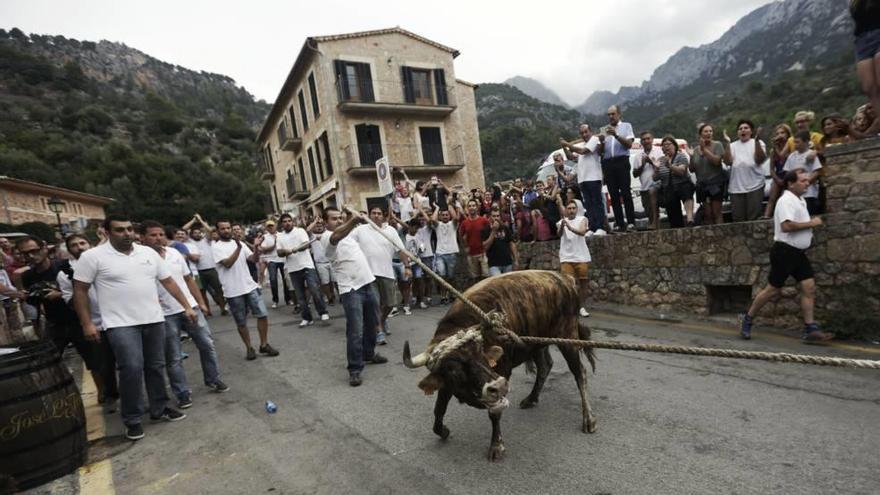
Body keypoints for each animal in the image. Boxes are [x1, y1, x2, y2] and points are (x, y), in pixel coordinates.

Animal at [404, 272, 600, 462]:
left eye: (481, 353)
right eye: (453, 369)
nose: (498, 386)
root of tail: (565, 279)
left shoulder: (503, 372)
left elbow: (495, 413)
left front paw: (496, 446)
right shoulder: (446, 384)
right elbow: (439, 409)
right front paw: (443, 430)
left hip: (567, 337)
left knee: (579, 372)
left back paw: (589, 419)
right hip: (536, 343)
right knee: (545, 366)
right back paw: (531, 398)